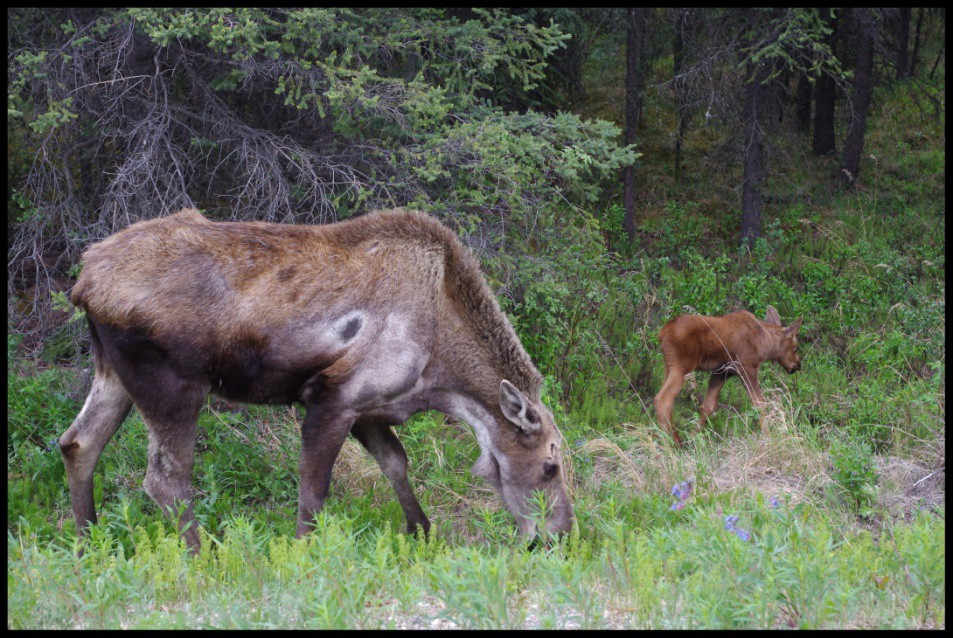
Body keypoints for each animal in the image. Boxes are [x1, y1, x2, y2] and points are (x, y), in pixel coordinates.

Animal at [67, 209, 576, 552]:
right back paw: (201, 555)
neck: (441, 374)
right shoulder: (332, 398)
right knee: (165, 479)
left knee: (77, 444)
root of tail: (83, 283)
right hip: (172, 386)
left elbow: (396, 464)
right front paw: (303, 553)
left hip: (114, 374)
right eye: (549, 467)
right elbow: (314, 491)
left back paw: (88, 542)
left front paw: (421, 533)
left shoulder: (368, 408)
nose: (561, 536)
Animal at [652, 308, 800, 448]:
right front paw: (769, 435)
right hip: (681, 366)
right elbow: (760, 403)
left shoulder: (722, 372)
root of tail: (661, 333)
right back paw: (673, 443)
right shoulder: (747, 367)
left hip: (668, 366)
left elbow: (709, 405)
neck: (765, 343)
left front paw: (694, 437)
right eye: (796, 347)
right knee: (663, 399)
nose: (797, 365)